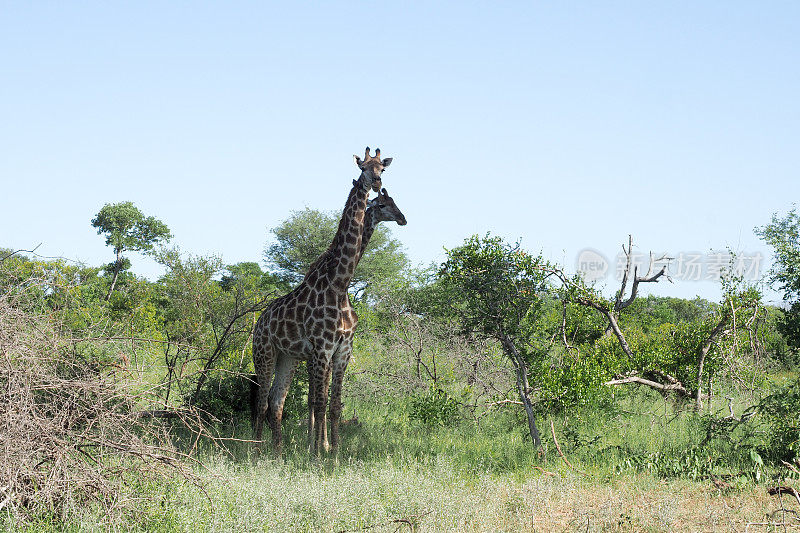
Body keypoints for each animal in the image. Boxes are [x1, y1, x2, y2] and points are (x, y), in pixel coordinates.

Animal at [253, 148, 396, 456]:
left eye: (382, 168)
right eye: (363, 167)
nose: (376, 182)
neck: (339, 283)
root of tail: (258, 323)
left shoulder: (341, 351)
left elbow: (335, 406)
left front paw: (335, 454)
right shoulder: (321, 349)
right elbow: (317, 403)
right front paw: (317, 453)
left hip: (287, 357)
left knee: (276, 402)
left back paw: (278, 453)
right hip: (264, 353)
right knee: (261, 401)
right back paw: (255, 451)